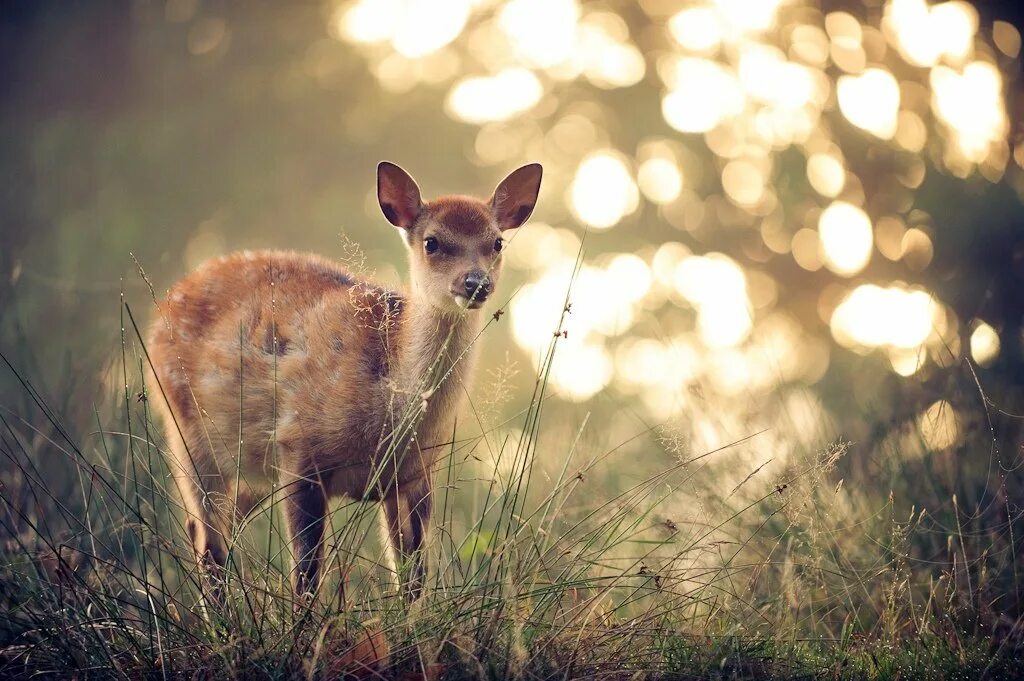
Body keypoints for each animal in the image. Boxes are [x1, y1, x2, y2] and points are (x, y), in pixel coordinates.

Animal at [148, 161, 544, 598]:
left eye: (497, 243)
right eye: (432, 242)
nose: (476, 283)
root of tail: (163, 308)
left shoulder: (415, 473)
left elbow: (414, 576)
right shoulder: (298, 448)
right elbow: (306, 574)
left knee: (216, 526)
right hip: (187, 431)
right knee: (207, 539)